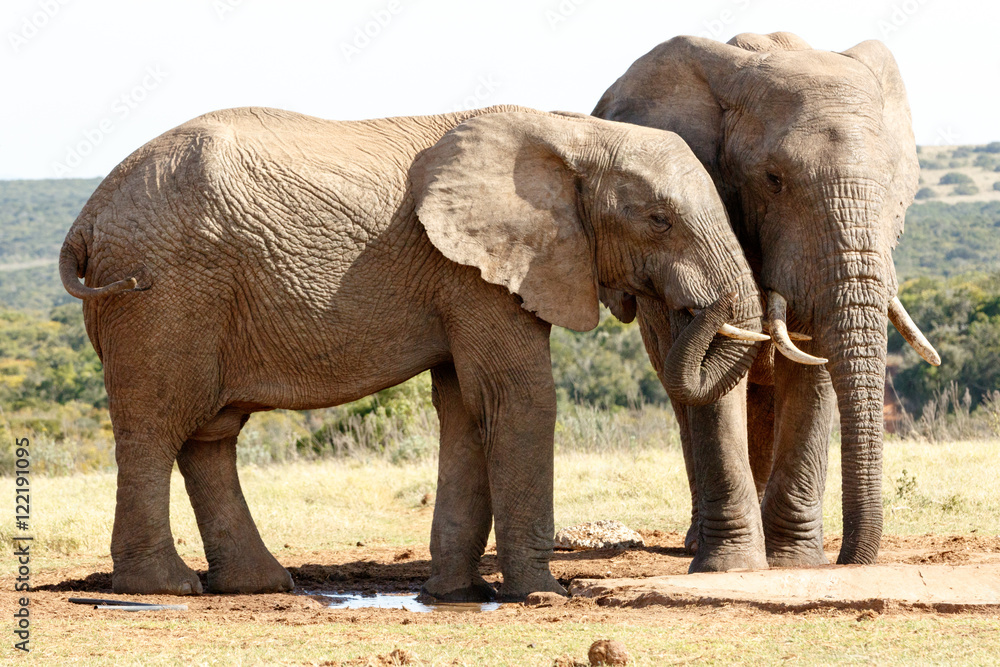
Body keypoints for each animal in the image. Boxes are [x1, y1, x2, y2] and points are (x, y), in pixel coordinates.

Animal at [60, 104, 765, 600]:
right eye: (659, 220)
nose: (700, 312)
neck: (569, 135)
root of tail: (86, 217)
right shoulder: (474, 271)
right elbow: (518, 397)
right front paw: (542, 594)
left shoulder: (465, 274)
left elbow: (465, 406)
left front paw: (458, 594)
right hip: (161, 293)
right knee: (156, 423)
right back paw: (164, 588)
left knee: (210, 434)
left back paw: (257, 585)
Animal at [593, 32, 940, 572]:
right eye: (773, 180)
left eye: (891, 185)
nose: (848, 560)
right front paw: (732, 566)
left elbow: (812, 371)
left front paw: (794, 562)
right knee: (686, 397)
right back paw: (696, 542)